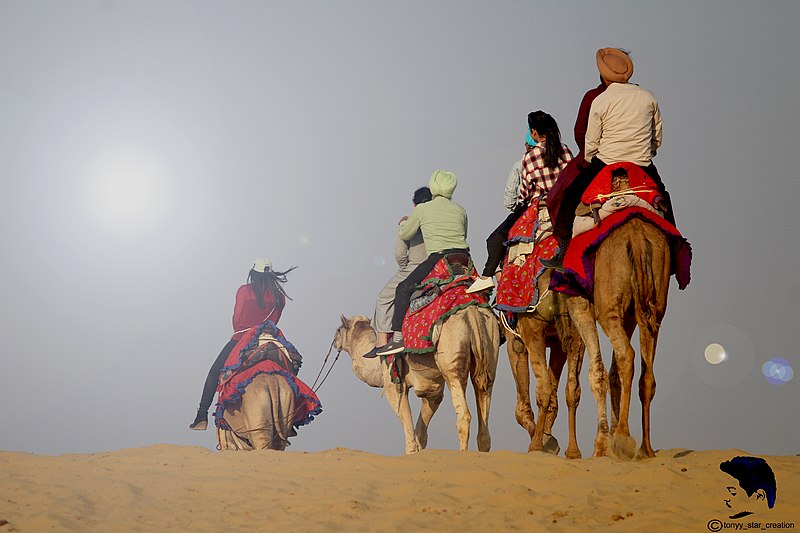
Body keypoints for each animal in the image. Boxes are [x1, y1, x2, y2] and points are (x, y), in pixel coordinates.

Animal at [332, 304, 496, 454]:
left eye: (338, 329)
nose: (334, 342)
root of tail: (472, 314)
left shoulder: (393, 385)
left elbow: (407, 424)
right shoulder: (432, 389)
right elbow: (421, 433)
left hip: (452, 359)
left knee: (463, 415)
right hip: (489, 356)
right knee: (484, 415)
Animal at [500, 270, 588, 458]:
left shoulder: (515, 340)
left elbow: (521, 409)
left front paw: (546, 441)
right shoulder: (557, 343)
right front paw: (548, 438)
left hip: (534, 332)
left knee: (544, 388)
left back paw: (535, 446)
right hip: (577, 329)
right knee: (573, 388)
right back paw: (573, 451)